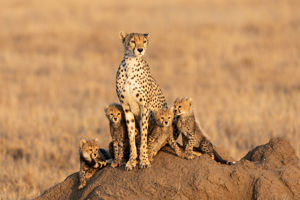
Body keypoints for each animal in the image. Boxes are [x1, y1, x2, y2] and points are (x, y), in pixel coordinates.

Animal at [116, 32, 168, 170]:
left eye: (144, 41)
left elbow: (144, 136)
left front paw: (143, 160)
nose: (140, 49)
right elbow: (131, 135)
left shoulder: (144, 107)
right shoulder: (126, 107)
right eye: (133, 41)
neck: (131, 63)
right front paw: (131, 160)